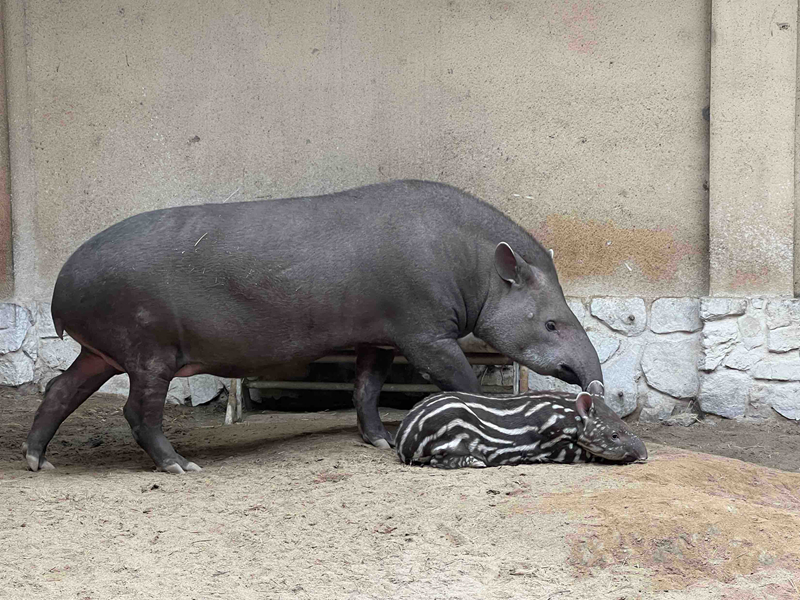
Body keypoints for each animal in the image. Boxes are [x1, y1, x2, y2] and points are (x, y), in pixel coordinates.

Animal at [24, 180, 602, 473]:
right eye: (552, 322)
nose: (593, 383)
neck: (476, 265)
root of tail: (59, 291)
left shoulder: (378, 333)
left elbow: (366, 389)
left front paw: (379, 440)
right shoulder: (423, 332)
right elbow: (456, 379)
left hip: (102, 351)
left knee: (60, 389)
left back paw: (38, 462)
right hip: (148, 347)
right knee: (137, 410)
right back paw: (182, 467)